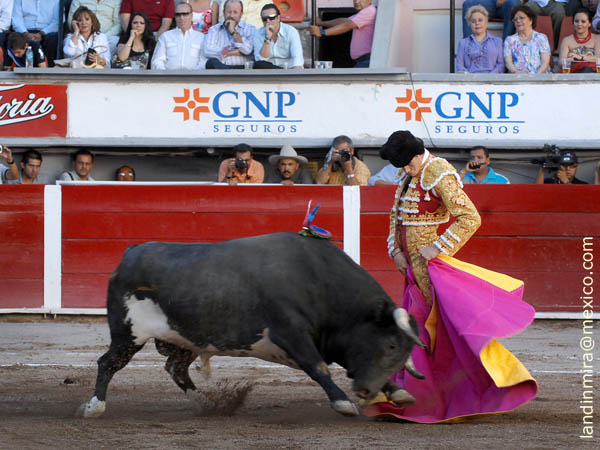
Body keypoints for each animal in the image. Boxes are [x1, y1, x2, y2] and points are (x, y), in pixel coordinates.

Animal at [78, 232, 424, 418]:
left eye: (403, 353)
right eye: (390, 344)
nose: (366, 391)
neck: (319, 280)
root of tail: (132, 252)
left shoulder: (332, 340)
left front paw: (398, 392)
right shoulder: (293, 334)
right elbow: (319, 368)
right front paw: (344, 403)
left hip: (185, 338)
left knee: (175, 369)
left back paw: (207, 402)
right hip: (128, 333)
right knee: (108, 363)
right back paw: (95, 407)